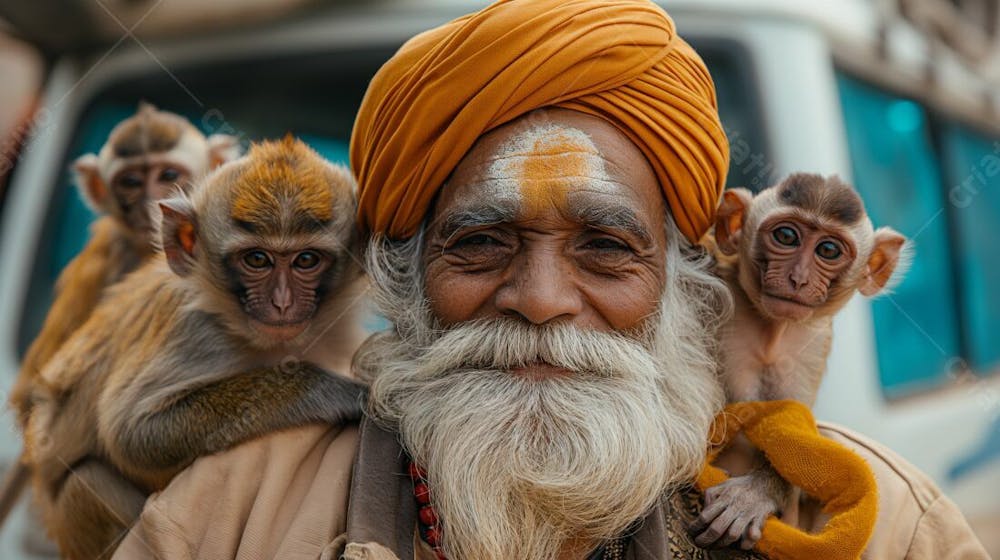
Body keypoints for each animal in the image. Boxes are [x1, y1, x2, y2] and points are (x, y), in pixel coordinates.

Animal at [25, 137, 370, 560]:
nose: (282, 303)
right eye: (257, 259)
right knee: (85, 479)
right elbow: (133, 433)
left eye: (306, 259)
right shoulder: (196, 333)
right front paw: (330, 391)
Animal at [692, 174, 912, 552]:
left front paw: (756, 494)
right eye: (786, 236)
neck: (773, 328)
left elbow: (789, 425)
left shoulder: (812, 342)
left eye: (828, 251)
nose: (798, 278)